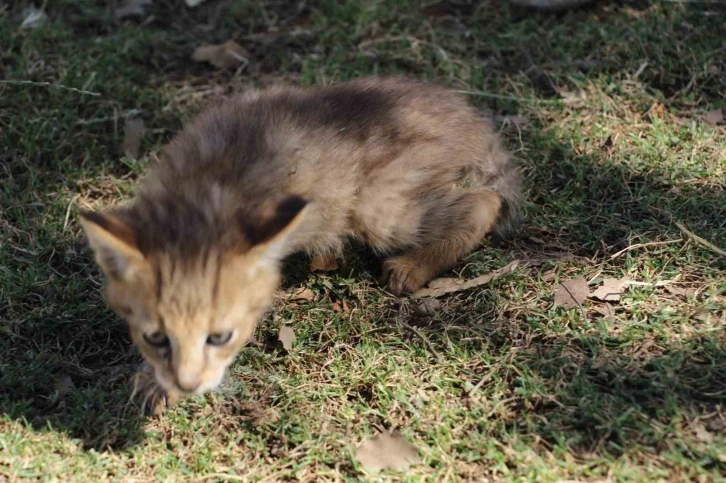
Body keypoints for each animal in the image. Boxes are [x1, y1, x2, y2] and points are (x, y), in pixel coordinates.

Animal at [79, 77, 524, 410]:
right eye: (156, 338)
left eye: (219, 337)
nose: (187, 385)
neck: (199, 198)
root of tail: (470, 116)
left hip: (380, 210)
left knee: (483, 202)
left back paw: (412, 266)